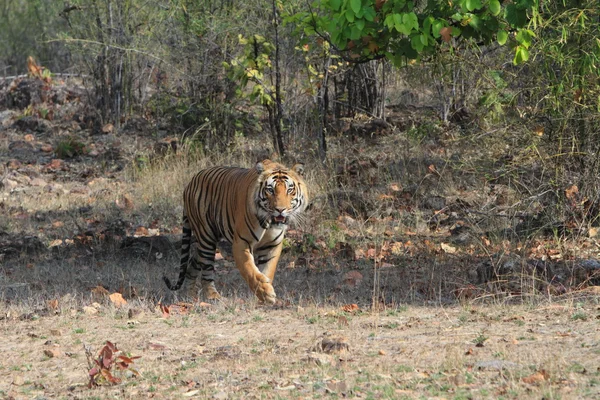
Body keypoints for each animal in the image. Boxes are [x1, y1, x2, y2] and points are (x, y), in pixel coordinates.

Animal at [162, 159, 308, 304]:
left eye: (290, 190)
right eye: (270, 190)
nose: (280, 209)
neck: (269, 222)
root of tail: (190, 183)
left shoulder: (272, 245)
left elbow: (267, 271)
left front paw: (264, 294)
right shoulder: (241, 243)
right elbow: (249, 269)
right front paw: (265, 292)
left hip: (203, 242)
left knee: (193, 264)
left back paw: (189, 296)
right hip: (206, 236)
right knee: (206, 271)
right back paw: (213, 296)